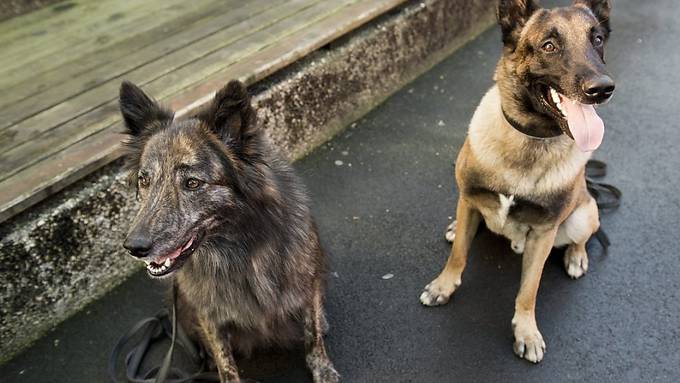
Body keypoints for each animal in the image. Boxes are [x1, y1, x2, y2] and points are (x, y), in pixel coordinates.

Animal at [119, 79, 340, 382]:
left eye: (192, 183)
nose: (134, 247)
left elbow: (312, 335)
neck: (238, 253)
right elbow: (225, 361)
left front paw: (323, 368)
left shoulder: (307, 285)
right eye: (144, 180)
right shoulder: (208, 315)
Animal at [420, 0, 616, 364]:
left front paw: (526, 331)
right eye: (549, 46)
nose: (602, 89)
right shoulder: (469, 198)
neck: (530, 139)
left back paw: (576, 257)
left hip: (583, 215)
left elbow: (529, 289)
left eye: (597, 40)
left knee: (583, 236)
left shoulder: (543, 234)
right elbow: (458, 255)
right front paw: (443, 286)